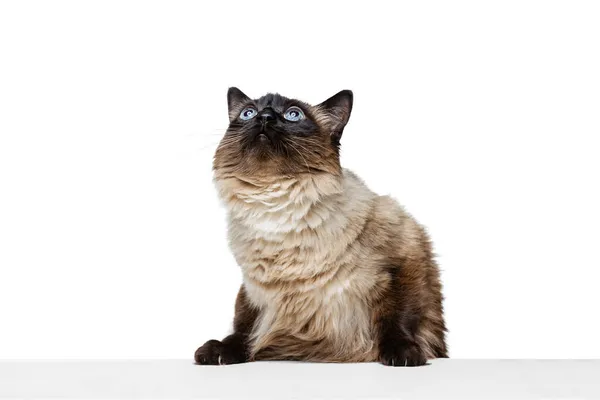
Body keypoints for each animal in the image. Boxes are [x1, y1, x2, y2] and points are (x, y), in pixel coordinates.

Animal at [195, 88, 448, 366]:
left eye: (293, 115)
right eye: (248, 113)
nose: (264, 117)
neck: (273, 203)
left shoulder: (404, 258)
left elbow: (397, 317)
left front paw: (402, 354)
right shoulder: (253, 291)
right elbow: (243, 328)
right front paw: (219, 352)